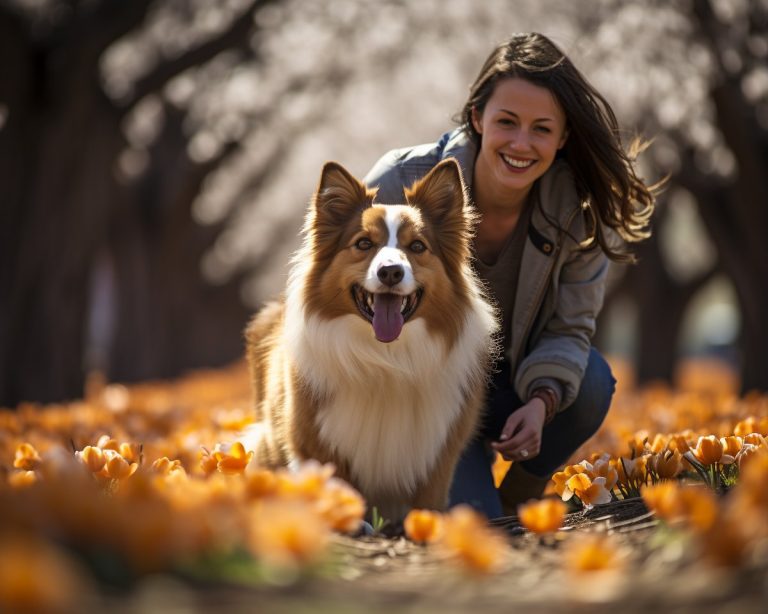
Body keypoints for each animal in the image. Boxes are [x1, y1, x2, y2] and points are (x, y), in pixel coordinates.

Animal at [244, 159, 498, 524]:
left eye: (417, 247)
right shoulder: (314, 440)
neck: (386, 357)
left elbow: (427, 503)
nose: (390, 272)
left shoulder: (438, 452)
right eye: (364, 244)